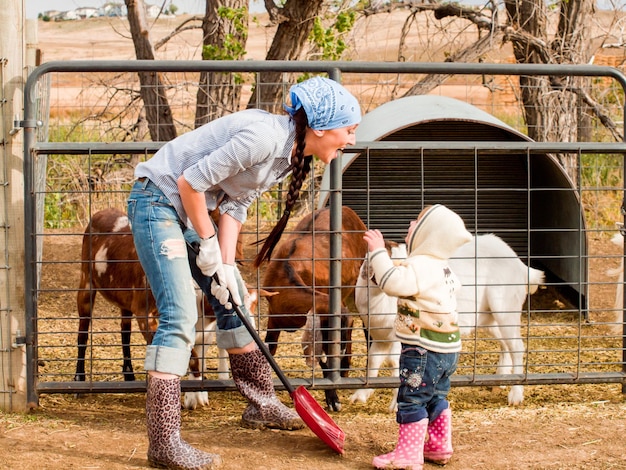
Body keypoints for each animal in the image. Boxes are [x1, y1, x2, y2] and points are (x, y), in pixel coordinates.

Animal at [348, 233, 544, 410]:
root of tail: (521, 267)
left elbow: (394, 363)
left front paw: (395, 405)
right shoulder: (380, 336)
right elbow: (373, 360)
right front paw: (359, 396)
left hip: (505, 307)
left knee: (517, 346)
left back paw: (515, 395)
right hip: (488, 317)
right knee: (505, 343)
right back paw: (501, 380)